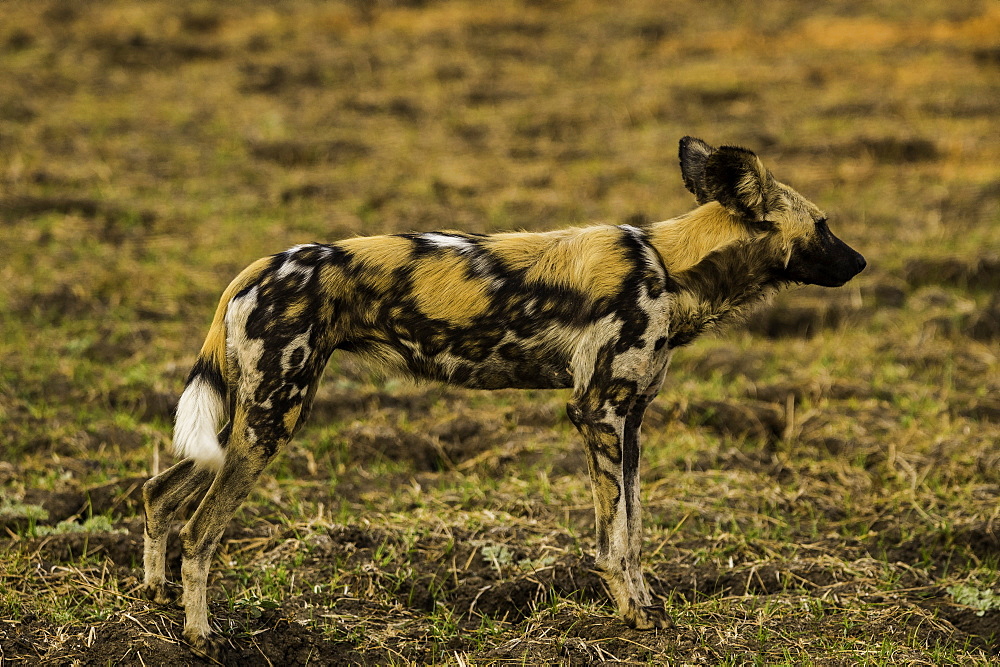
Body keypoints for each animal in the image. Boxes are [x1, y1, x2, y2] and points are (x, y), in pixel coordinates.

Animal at [141, 136, 868, 652]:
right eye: (824, 225)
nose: (863, 262)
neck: (668, 267)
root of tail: (259, 267)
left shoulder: (631, 420)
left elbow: (635, 528)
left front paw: (647, 609)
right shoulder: (598, 412)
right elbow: (613, 540)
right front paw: (634, 618)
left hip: (245, 421)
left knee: (159, 493)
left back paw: (155, 598)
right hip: (274, 417)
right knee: (201, 530)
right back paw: (200, 638)